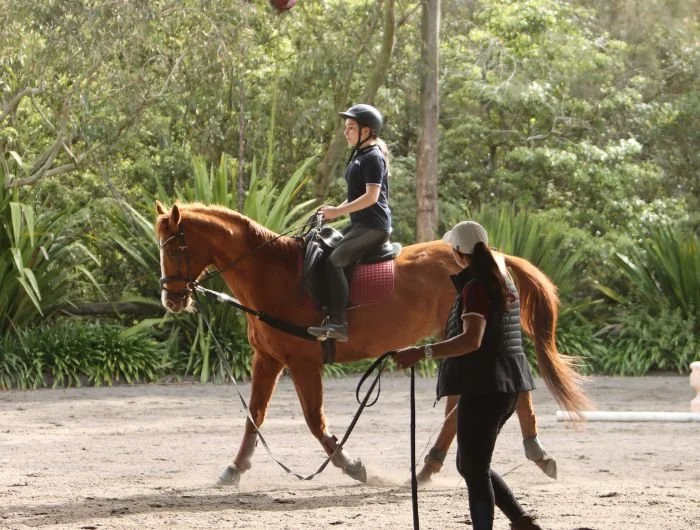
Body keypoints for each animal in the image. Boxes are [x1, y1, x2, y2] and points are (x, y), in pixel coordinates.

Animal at [155, 201, 589, 485]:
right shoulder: (268, 358)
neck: (273, 275)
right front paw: (235, 468)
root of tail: (492, 253)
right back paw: (439, 464)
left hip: (464, 332)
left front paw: (351, 465)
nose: (172, 299)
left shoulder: (302, 362)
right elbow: (254, 415)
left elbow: (314, 420)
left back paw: (530, 453)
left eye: (175, 246)